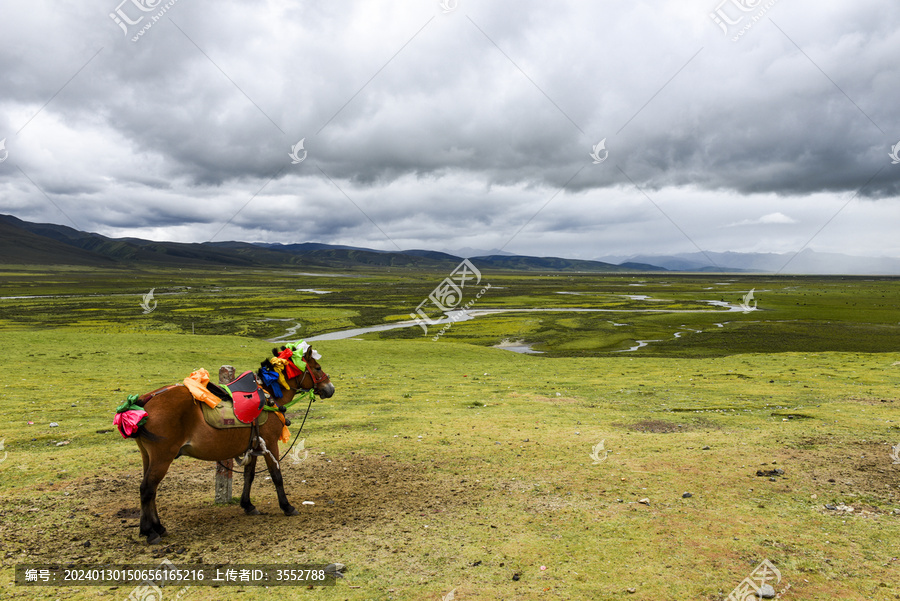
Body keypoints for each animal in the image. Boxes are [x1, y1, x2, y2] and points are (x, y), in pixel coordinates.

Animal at [127, 342, 334, 544]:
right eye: (317, 367)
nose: (330, 388)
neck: (270, 396)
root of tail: (145, 401)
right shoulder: (269, 444)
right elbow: (276, 475)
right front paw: (287, 507)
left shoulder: (254, 446)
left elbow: (249, 476)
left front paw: (248, 505)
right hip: (163, 457)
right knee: (147, 489)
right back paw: (150, 532)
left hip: (148, 456)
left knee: (150, 489)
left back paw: (155, 527)